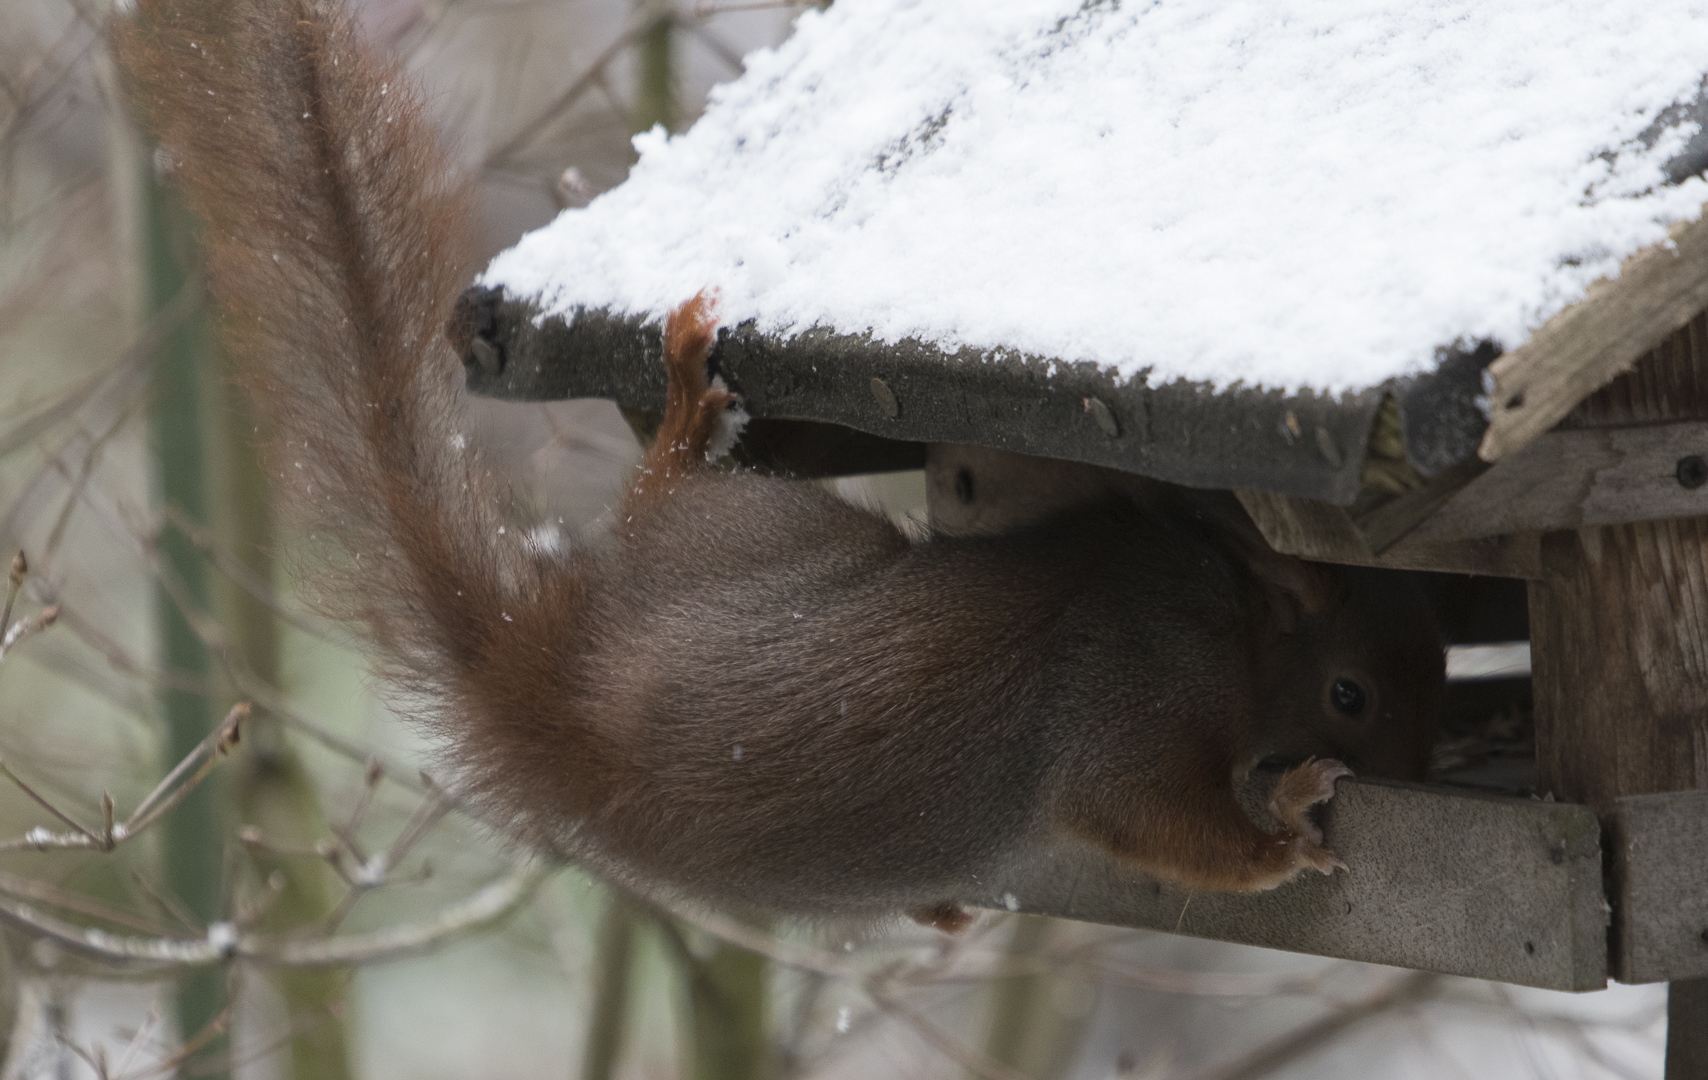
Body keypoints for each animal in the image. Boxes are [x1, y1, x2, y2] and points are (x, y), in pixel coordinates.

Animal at [116, 0, 1441, 929]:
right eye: (1349, 695)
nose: (1422, 771)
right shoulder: (1127, 698)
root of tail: (544, 688)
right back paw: (683, 421)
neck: (1229, 620)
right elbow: (1154, 822)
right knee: (659, 499)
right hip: (763, 531)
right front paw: (1286, 831)